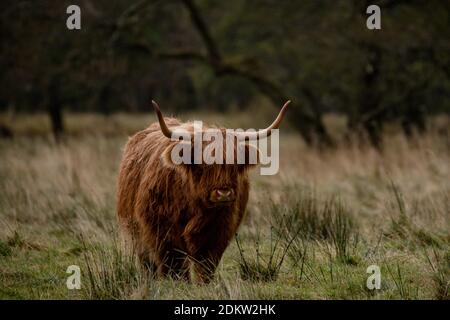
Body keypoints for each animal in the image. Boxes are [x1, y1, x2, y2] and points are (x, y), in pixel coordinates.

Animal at [118, 100, 290, 282]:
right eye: (203, 164)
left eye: (235, 164)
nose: (224, 194)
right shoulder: (161, 228)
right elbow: (173, 262)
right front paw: (177, 282)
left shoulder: (217, 229)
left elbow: (206, 263)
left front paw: (203, 283)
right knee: (147, 262)